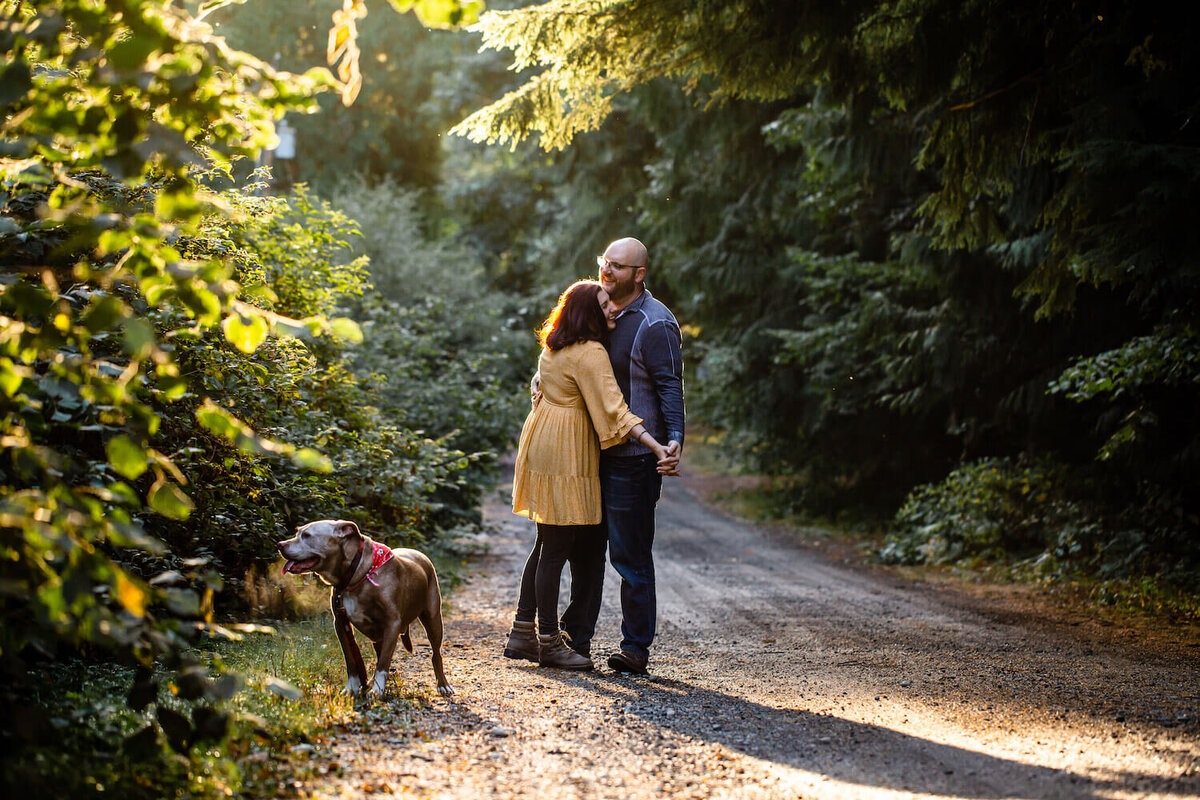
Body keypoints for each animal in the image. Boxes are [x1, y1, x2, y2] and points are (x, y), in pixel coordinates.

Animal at [276, 522, 453, 695]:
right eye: (298, 533)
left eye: (307, 535)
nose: (279, 545)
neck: (356, 574)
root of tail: (419, 553)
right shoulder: (340, 624)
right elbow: (351, 660)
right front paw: (352, 687)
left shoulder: (392, 623)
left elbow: (383, 664)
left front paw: (377, 690)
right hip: (378, 635)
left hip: (433, 619)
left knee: (436, 654)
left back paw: (443, 685)